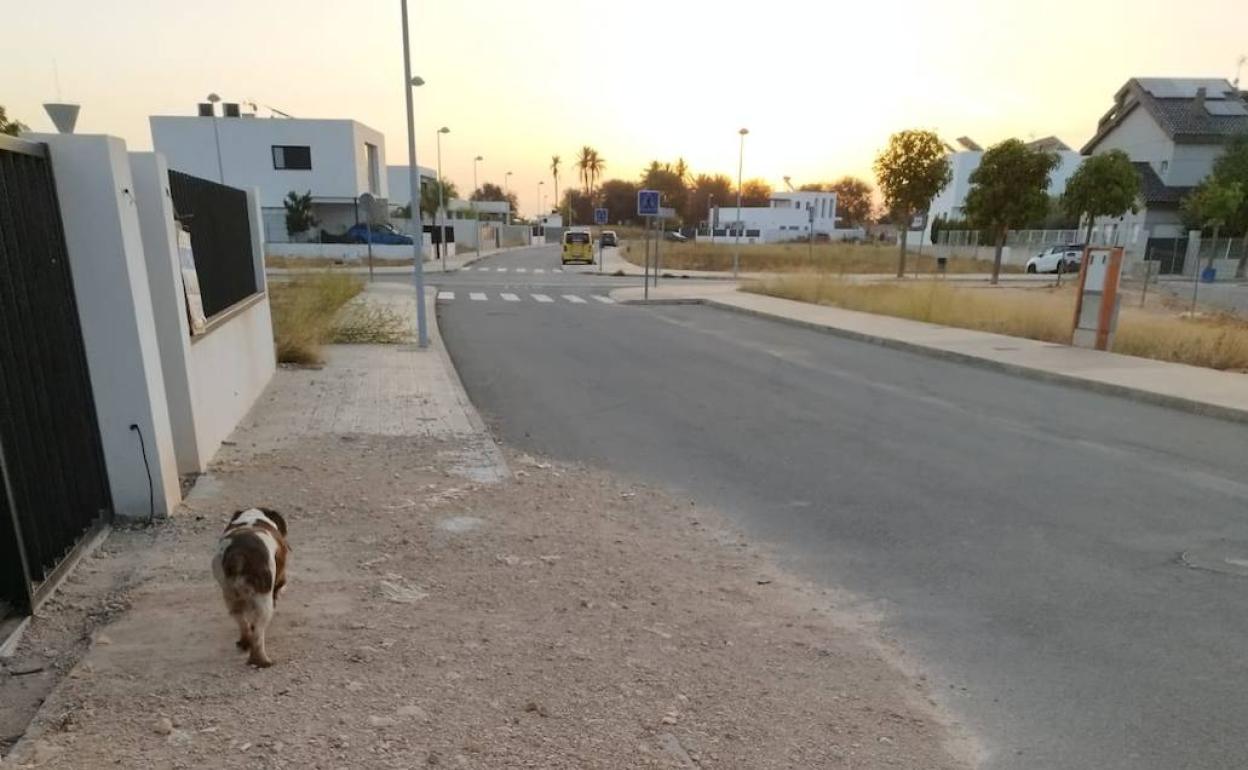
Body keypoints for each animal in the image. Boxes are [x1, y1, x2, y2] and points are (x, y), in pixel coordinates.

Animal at [215, 504, 293, 668]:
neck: (252, 518)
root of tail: (237, 554)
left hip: (230, 597)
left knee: (242, 622)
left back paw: (244, 643)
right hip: (263, 601)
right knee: (257, 634)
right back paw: (262, 661)